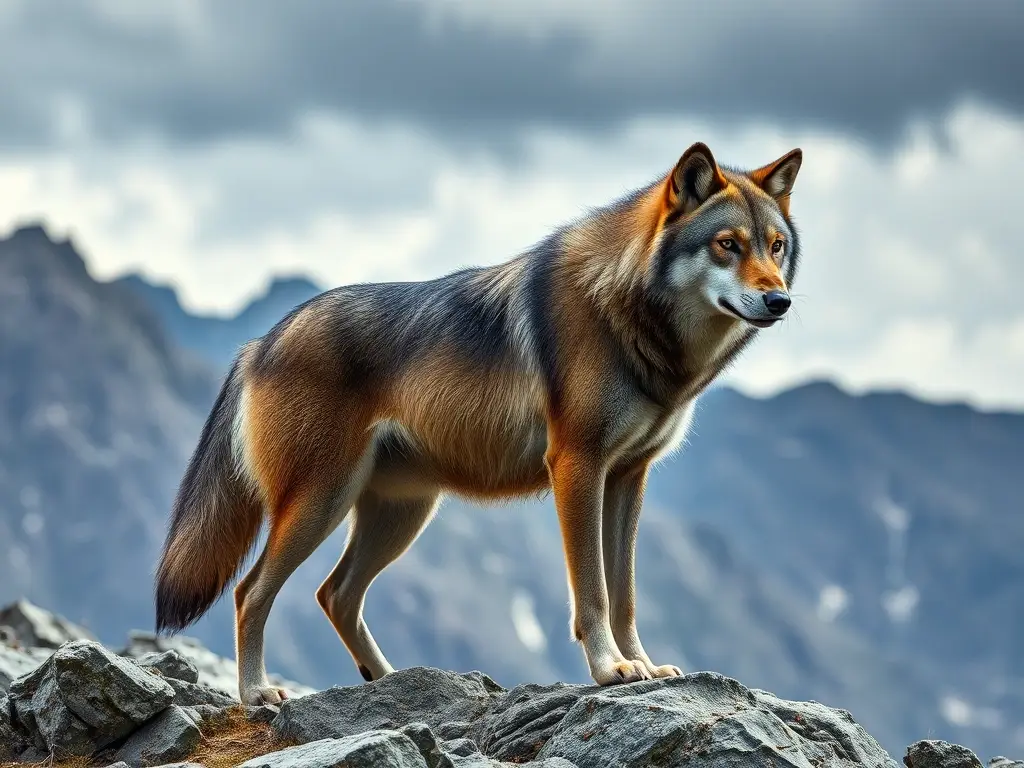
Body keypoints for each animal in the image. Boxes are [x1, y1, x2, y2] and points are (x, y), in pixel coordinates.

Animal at [155, 142, 803, 704]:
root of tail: (259, 342)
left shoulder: (628, 477)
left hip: (400, 514)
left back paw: (393, 681)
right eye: (726, 244)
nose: (781, 302)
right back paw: (257, 694)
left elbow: (625, 596)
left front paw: (642, 665)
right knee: (251, 593)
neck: (626, 310)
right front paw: (610, 669)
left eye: (775, 246)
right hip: (322, 502)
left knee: (335, 594)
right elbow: (593, 592)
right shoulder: (578, 465)